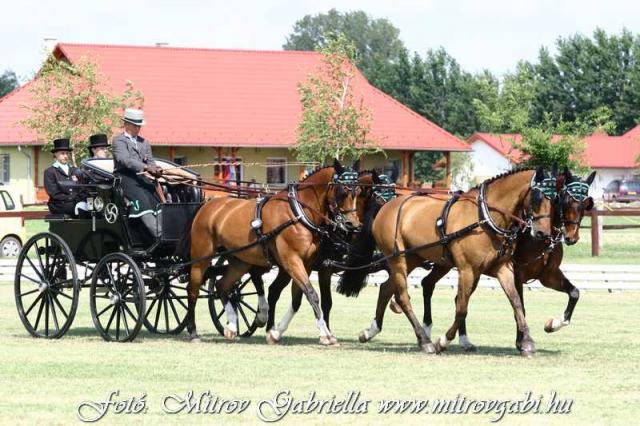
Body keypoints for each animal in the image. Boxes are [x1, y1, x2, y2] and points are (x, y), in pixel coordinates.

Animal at [185, 161, 362, 344]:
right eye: (342, 191)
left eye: (357, 191)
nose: (352, 225)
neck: (298, 213)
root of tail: (208, 205)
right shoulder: (292, 261)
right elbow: (312, 294)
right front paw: (325, 334)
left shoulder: (305, 264)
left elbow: (298, 298)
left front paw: (275, 332)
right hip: (201, 258)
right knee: (193, 290)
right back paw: (193, 332)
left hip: (240, 261)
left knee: (222, 286)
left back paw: (232, 327)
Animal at [340, 166, 556, 356]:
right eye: (537, 198)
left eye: (554, 200)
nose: (543, 233)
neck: (485, 217)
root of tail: (386, 207)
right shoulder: (468, 270)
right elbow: (461, 308)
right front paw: (443, 341)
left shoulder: (502, 267)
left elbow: (516, 302)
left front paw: (527, 342)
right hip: (398, 260)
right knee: (402, 297)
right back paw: (425, 341)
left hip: (412, 258)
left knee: (386, 288)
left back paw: (370, 331)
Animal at [402, 170, 596, 352]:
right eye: (565, 199)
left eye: (586, 203)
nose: (571, 237)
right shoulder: (517, 273)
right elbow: (520, 305)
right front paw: (522, 341)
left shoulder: (548, 275)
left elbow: (574, 293)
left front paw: (553, 324)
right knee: (439, 290)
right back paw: (428, 333)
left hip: (447, 264)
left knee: (434, 287)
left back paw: (458, 339)